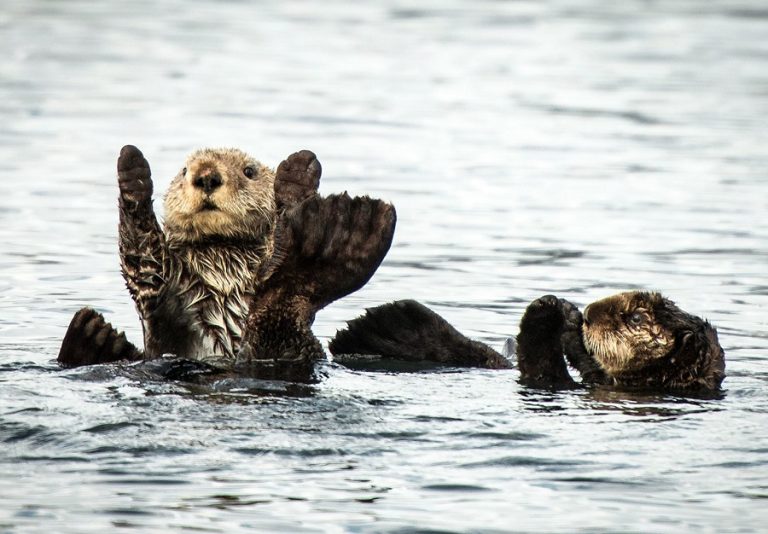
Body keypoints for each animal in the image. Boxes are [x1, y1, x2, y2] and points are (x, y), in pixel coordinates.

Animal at [58, 144, 396, 384]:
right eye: (185, 170)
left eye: (249, 171)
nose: (206, 175)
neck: (221, 253)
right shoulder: (164, 286)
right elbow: (143, 258)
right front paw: (132, 174)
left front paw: (295, 182)